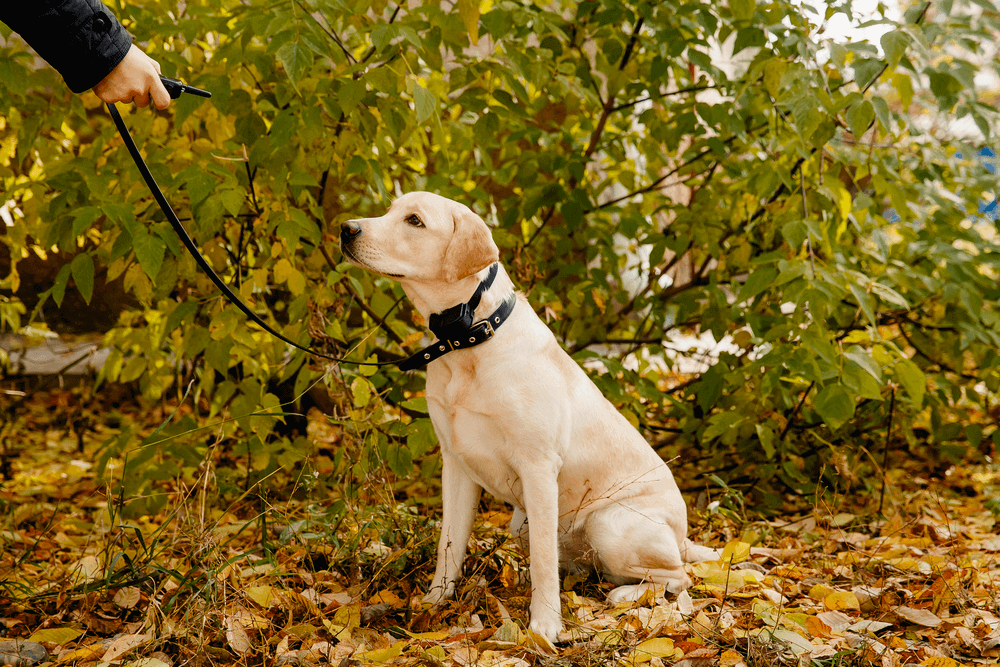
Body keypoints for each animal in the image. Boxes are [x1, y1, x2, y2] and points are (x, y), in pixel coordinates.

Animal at [340, 192, 716, 640]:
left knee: (676, 577)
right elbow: (449, 545)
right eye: (390, 210)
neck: (470, 340)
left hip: (608, 523)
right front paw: (434, 604)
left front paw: (544, 625)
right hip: (523, 524)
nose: (345, 229)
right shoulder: (456, 466)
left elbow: (542, 563)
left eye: (414, 220)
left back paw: (624, 595)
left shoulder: (538, 468)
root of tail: (683, 536)